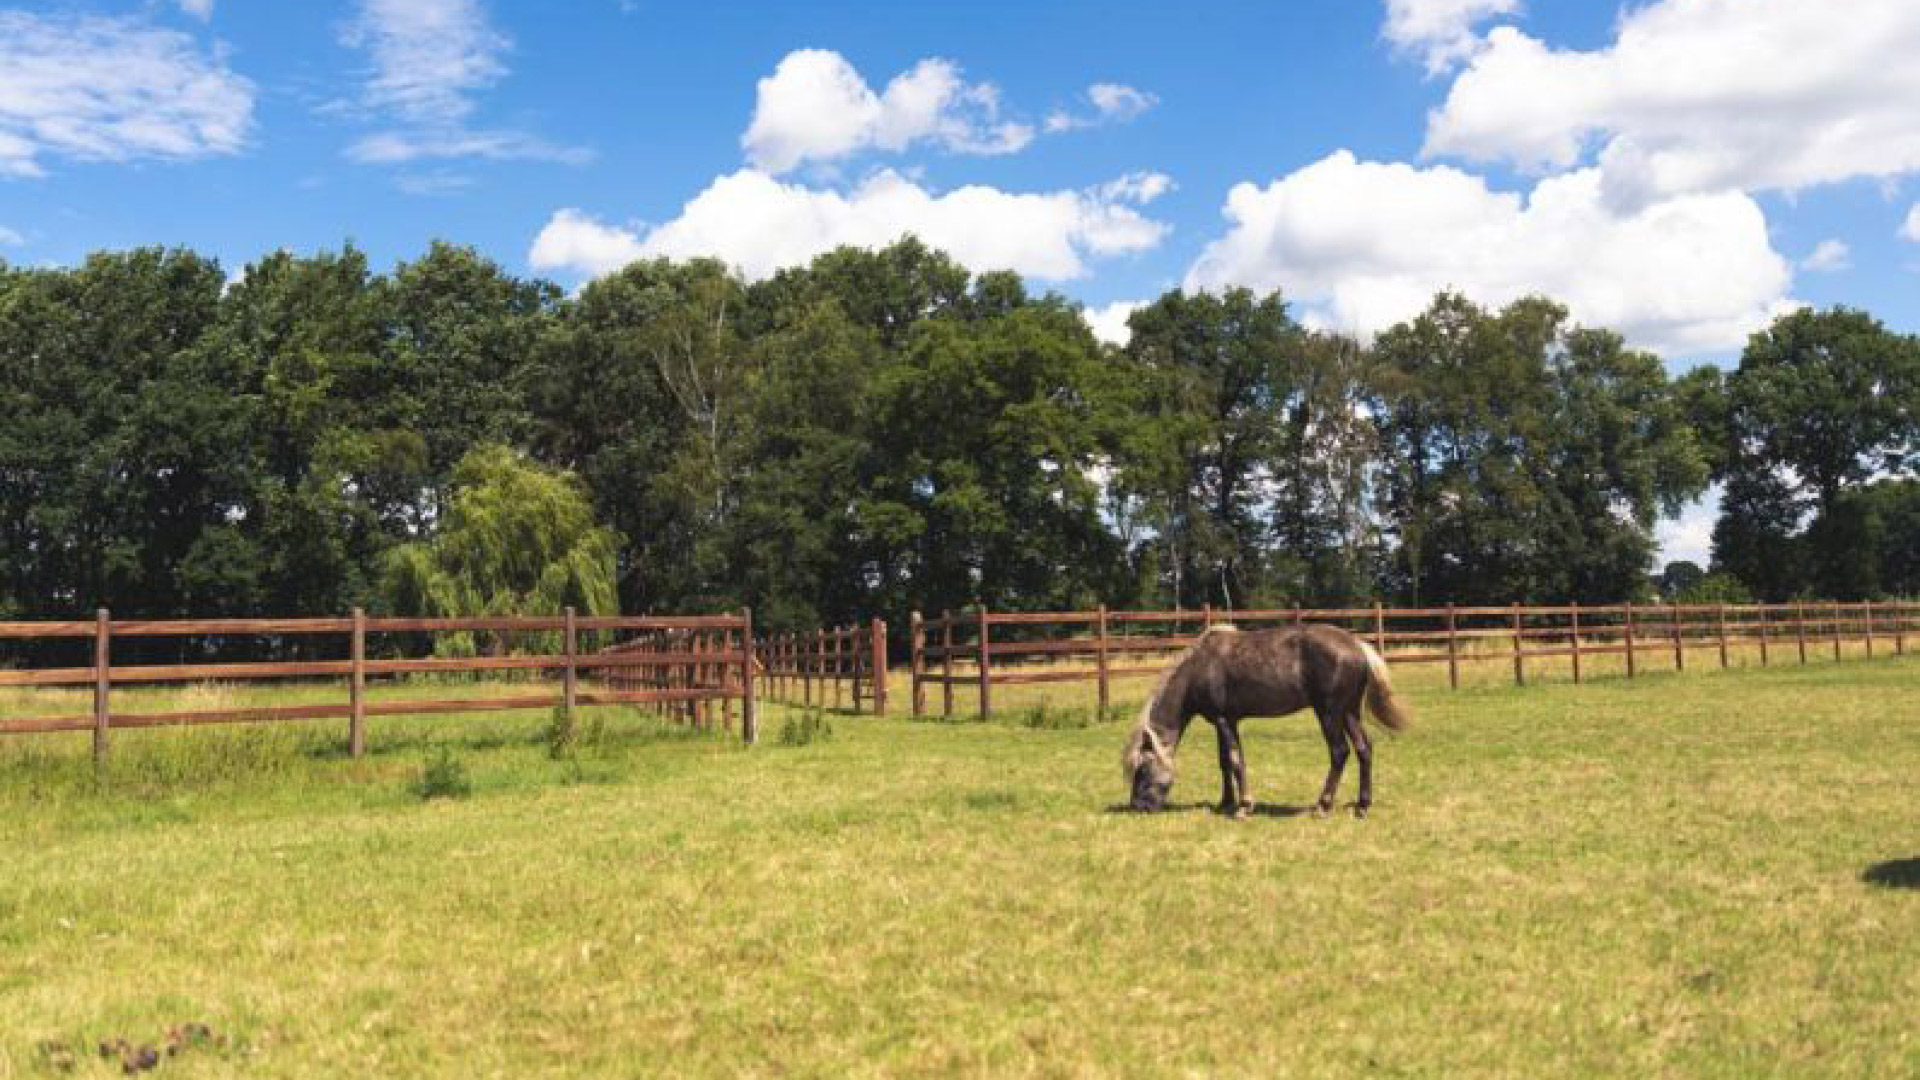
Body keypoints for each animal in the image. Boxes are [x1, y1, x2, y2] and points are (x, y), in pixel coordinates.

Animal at [1121, 622, 1413, 814]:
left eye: (1142, 769)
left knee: (1339, 751)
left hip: (1329, 712)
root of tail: (1358, 645)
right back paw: (1362, 806)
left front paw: (1244, 806)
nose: (1138, 807)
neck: (1199, 668)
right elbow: (1224, 762)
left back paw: (1323, 804)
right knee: (1364, 749)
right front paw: (1226, 802)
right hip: (1349, 712)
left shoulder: (1224, 720)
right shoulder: (1224, 721)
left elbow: (1235, 760)